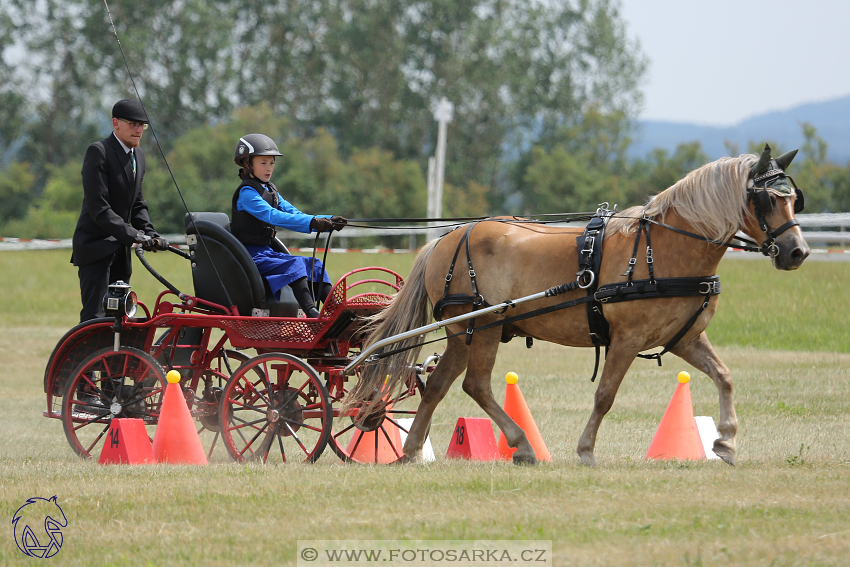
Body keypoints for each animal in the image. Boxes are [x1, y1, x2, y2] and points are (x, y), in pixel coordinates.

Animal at [344, 145, 808, 466]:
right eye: (767, 199)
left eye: (793, 199)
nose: (797, 252)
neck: (663, 248)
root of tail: (448, 236)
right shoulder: (627, 339)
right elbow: (605, 395)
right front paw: (586, 450)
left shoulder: (685, 338)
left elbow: (725, 376)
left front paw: (726, 441)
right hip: (482, 326)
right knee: (475, 385)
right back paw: (521, 444)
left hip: (466, 332)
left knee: (440, 385)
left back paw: (411, 450)